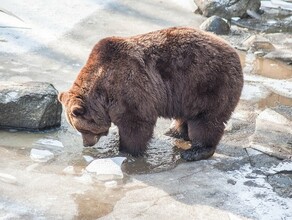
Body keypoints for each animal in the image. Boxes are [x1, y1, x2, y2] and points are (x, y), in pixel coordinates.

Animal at [58, 27, 243, 162]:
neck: (103, 93)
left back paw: (195, 151)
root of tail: (234, 52)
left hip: (208, 84)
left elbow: (136, 122)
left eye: (83, 129)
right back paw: (175, 131)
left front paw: (126, 150)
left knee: (206, 120)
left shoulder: (129, 87)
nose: (86, 144)